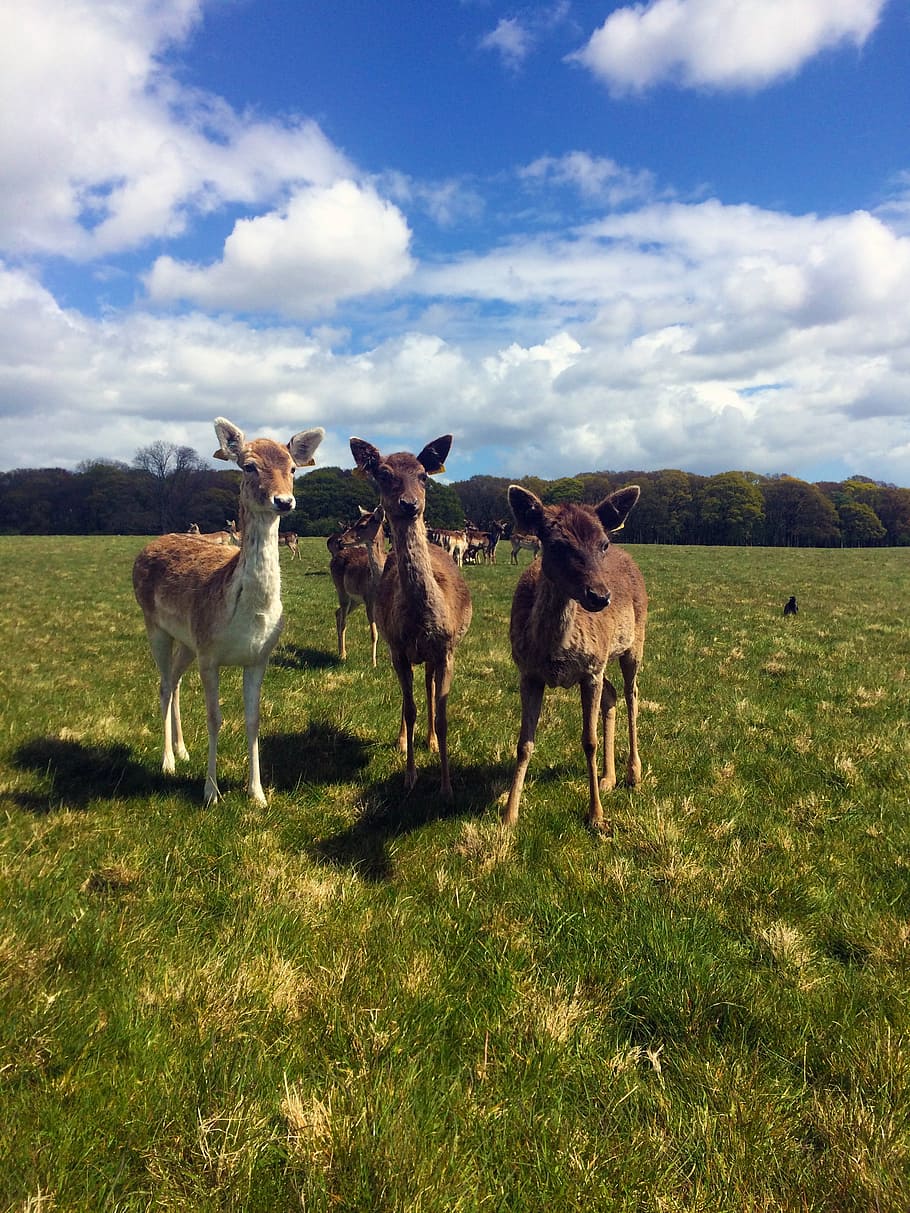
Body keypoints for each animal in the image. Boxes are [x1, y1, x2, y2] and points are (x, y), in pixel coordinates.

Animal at [131, 417, 325, 805]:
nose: (284, 500)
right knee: (163, 685)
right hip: (155, 625)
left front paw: (258, 794)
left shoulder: (258, 657)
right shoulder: (210, 654)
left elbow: (253, 720)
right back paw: (168, 761)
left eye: (293, 468)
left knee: (175, 682)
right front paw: (211, 792)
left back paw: (183, 751)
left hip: (187, 641)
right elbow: (215, 717)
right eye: (249, 466)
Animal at [351, 434, 473, 795]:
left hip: (433, 657)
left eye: (423, 476)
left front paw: (446, 786)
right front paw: (409, 777)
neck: (421, 623)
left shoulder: (446, 650)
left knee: (430, 689)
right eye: (384, 474)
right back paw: (403, 741)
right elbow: (409, 709)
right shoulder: (398, 650)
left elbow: (443, 715)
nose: (409, 504)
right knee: (411, 699)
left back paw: (430, 741)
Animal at [507, 482, 650, 834]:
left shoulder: (589, 670)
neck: (553, 652)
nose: (599, 596)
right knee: (611, 695)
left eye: (603, 544)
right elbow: (523, 743)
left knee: (631, 694)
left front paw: (596, 815)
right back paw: (609, 778)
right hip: (604, 657)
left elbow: (589, 741)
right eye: (556, 544)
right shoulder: (528, 672)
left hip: (634, 643)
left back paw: (633, 773)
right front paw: (509, 815)